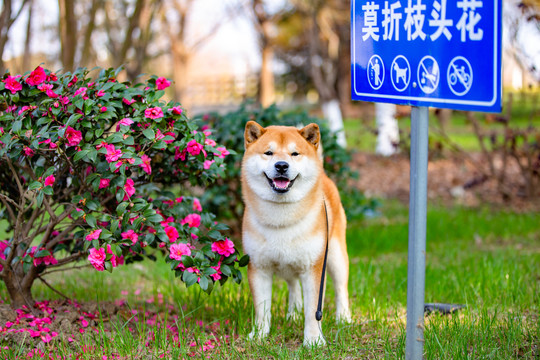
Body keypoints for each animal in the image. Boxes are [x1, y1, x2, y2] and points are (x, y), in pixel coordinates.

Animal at [240, 121, 350, 346]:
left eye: (295, 153)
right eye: (269, 152)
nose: (281, 165)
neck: (282, 219)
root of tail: (324, 176)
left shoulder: (314, 268)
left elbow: (313, 310)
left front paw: (313, 341)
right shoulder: (258, 267)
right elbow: (262, 310)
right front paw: (259, 335)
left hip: (335, 255)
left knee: (341, 287)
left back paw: (343, 317)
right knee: (292, 284)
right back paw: (293, 314)